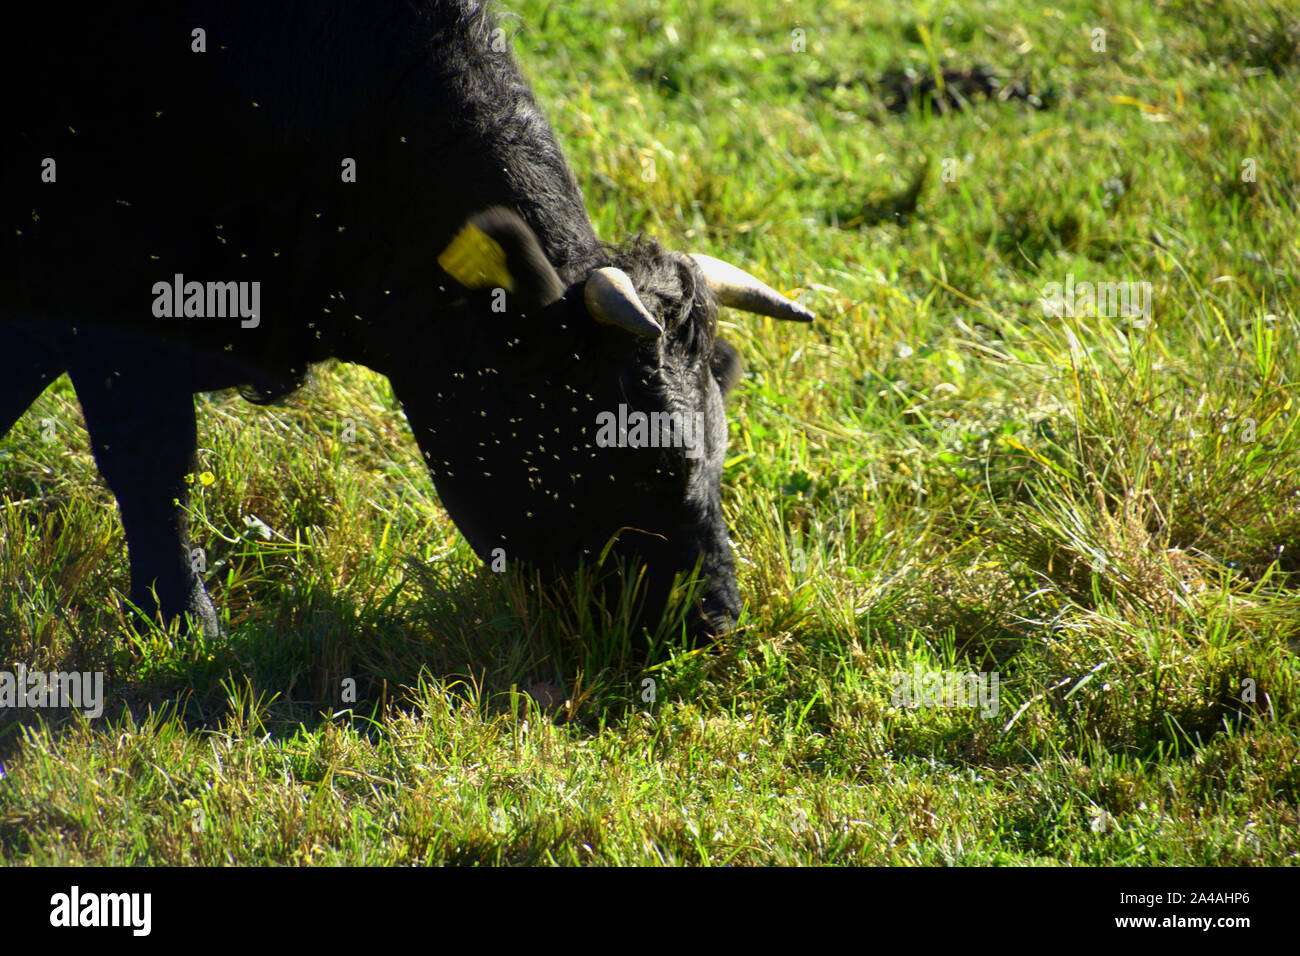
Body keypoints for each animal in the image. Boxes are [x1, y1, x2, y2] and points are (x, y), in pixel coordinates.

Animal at [0, 0, 812, 645]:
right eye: (641, 459)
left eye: (719, 446)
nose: (716, 622)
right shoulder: (111, 318)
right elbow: (153, 473)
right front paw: (182, 626)